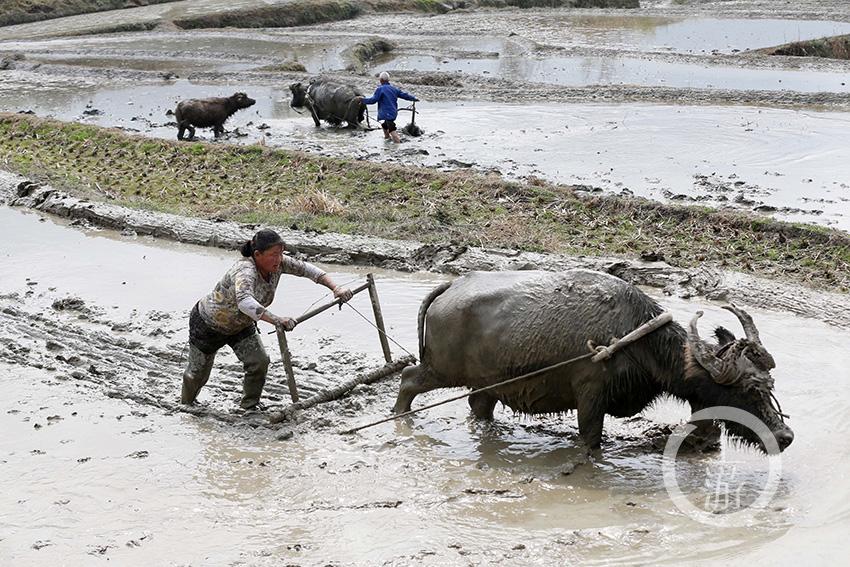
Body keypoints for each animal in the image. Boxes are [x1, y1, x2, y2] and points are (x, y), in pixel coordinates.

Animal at [394, 270, 792, 452]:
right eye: (747, 390)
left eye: (769, 386)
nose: (784, 436)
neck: (634, 337)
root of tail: (450, 286)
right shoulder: (590, 397)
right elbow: (590, 440)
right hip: (441, 369)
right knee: (409, 377)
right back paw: (400, 417)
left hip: (486, 384)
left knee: (478, 406)